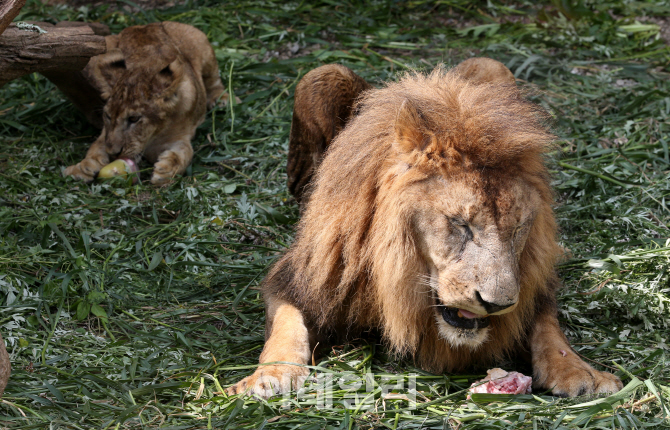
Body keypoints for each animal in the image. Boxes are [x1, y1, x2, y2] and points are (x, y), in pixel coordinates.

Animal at [64, 22, 224, 183]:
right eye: (108, 116)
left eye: (134, 118)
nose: (113, 153)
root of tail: (144, 25)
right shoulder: (106, 134)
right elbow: (96, 146)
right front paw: (83, 167)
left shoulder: (180, 136)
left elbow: (186, 152)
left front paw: (166, 170)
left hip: (201, 45)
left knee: (213, 79)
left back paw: (220, 99)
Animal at [230, 58, 624, 398]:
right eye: (460, 224)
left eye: (518, 229)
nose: (496, 304)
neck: (400, 276)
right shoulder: (298, 276)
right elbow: (286, 323)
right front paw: (269, 375)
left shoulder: (533, 284)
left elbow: (548, 326)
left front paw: (579, 372)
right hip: (320, 78)